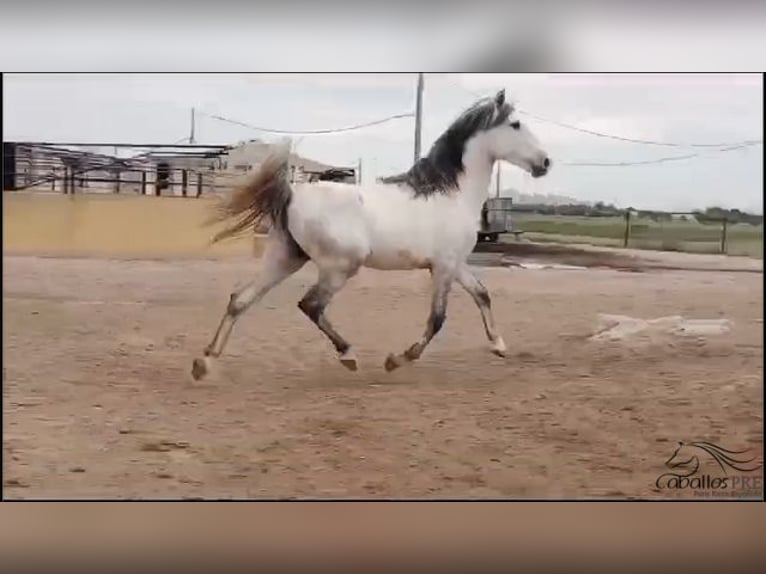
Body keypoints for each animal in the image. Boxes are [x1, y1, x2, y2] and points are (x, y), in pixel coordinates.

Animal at [192, 89, 552, 382]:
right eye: (516, 125)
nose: (545, 162)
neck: (452, 195)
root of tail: (292, 192)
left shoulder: (455, 264)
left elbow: (482, 295)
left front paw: (500, 345)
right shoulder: (443, 268)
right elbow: (437, 319)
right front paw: (397, 359)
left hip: (286, 258)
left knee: (240, 299)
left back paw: (205, 362)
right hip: (339, 267)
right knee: (310, 305)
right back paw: (349, 355)